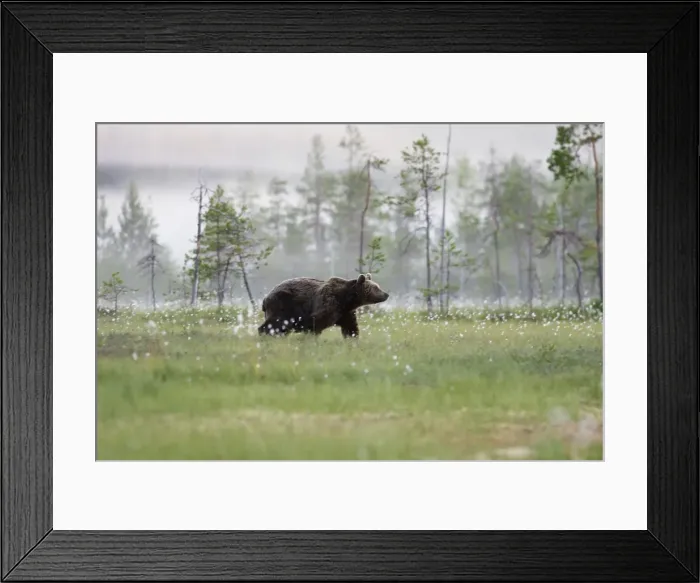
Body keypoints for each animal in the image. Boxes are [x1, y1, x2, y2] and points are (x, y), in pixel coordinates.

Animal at [258, 273, 389, 338]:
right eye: (376, 288)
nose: (386, 294)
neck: (346, 299)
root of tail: (265, 298)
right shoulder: (328, 303)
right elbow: (316, 323)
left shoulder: (345, 313)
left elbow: (351, 328)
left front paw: (352, 340)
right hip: (283, 305)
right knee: (275, 324)